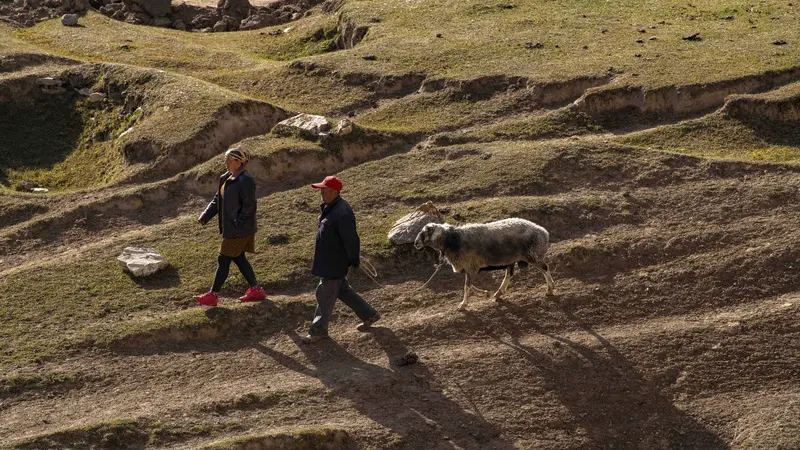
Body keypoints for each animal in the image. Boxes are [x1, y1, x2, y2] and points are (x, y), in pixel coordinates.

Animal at [412, 217, 556, 310]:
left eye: (426, 232)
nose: (415, 243)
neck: (453, 241)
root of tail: (544, 232)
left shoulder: (470, 267)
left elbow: (466, 287)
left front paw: (463, 305)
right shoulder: (470, 269)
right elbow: (469, 286)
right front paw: (485, 293)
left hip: (531, 255)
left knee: (545, 267)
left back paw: (550, 289)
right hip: (513, 259)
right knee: (509, 275)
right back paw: (498, 293)